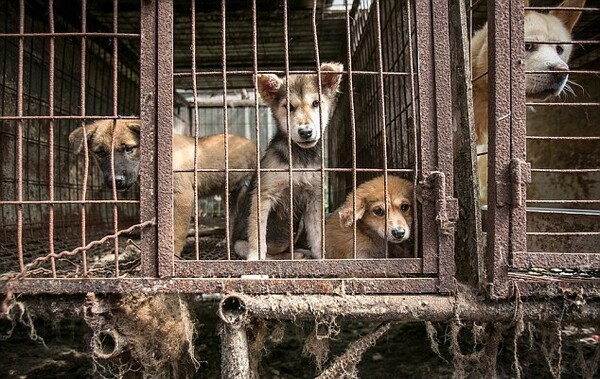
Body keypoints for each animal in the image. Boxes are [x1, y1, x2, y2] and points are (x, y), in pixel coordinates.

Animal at [69, 119, 256, 258]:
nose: (116, 181)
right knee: (231, 220)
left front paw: (173, 257)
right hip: (229, 195)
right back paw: (226, 242)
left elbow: (177, 233)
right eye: (100, 152)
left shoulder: (183, 196)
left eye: (128, 149)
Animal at [233, 62, 346, 262]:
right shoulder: (263, 195)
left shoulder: (314, 197)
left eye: (316, 103)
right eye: (289, 107)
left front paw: (320, 256)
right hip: (239, 243)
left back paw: (299, 254)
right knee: (269, 253)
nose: (306, 132)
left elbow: (317, 234)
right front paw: (255, 257)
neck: (300, 157)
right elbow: (258, 234)